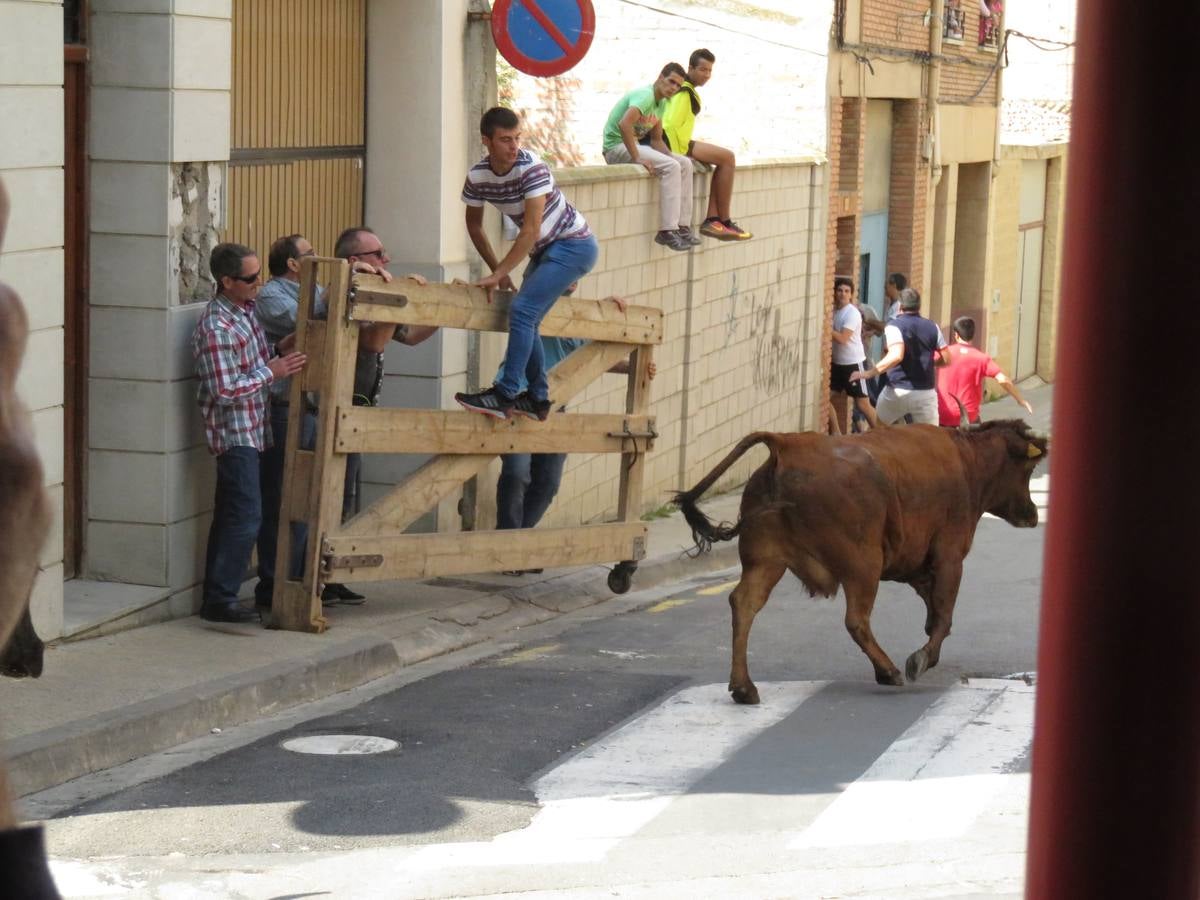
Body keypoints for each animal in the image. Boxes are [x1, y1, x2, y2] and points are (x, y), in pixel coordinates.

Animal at [681, 420, 1046, 710]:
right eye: (1027, 469)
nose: (1032, 515)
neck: (967, 461)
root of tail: (790, 444)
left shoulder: (917, 565)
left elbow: (935, 615)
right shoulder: (949, 557)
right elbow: (943, 617)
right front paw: (921, 659)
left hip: (766, 560)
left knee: (744, 604)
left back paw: (744, 688)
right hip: (863, 564)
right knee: (856, 620)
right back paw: (888, 671)